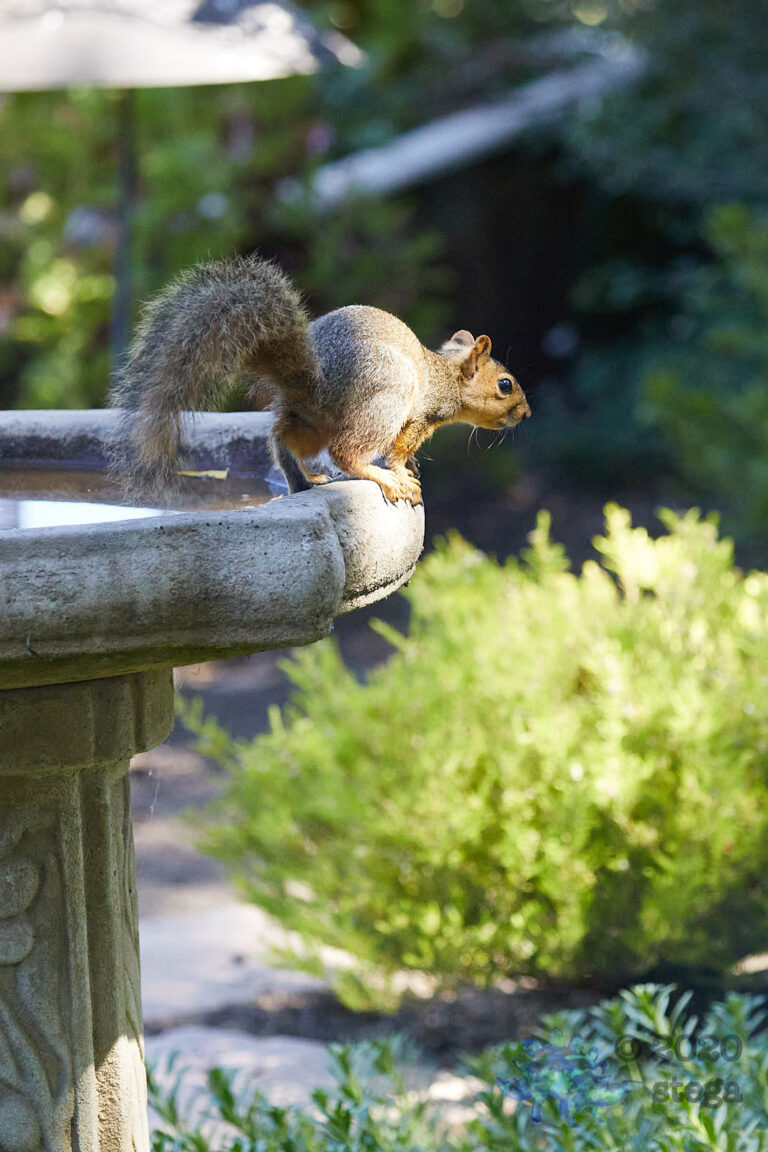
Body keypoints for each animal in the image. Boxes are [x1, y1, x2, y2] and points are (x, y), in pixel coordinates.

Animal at [108, 255, 530, 506]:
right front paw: (402, 474)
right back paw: (378, 477)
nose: (525, 414)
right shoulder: (422, 416)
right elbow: (397, 451)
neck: (446, 375)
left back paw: (307, 477)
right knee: (346, 451)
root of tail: (311, 380)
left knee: (284, 440)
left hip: (314, 421)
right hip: (386, 395)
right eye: (505, 385)